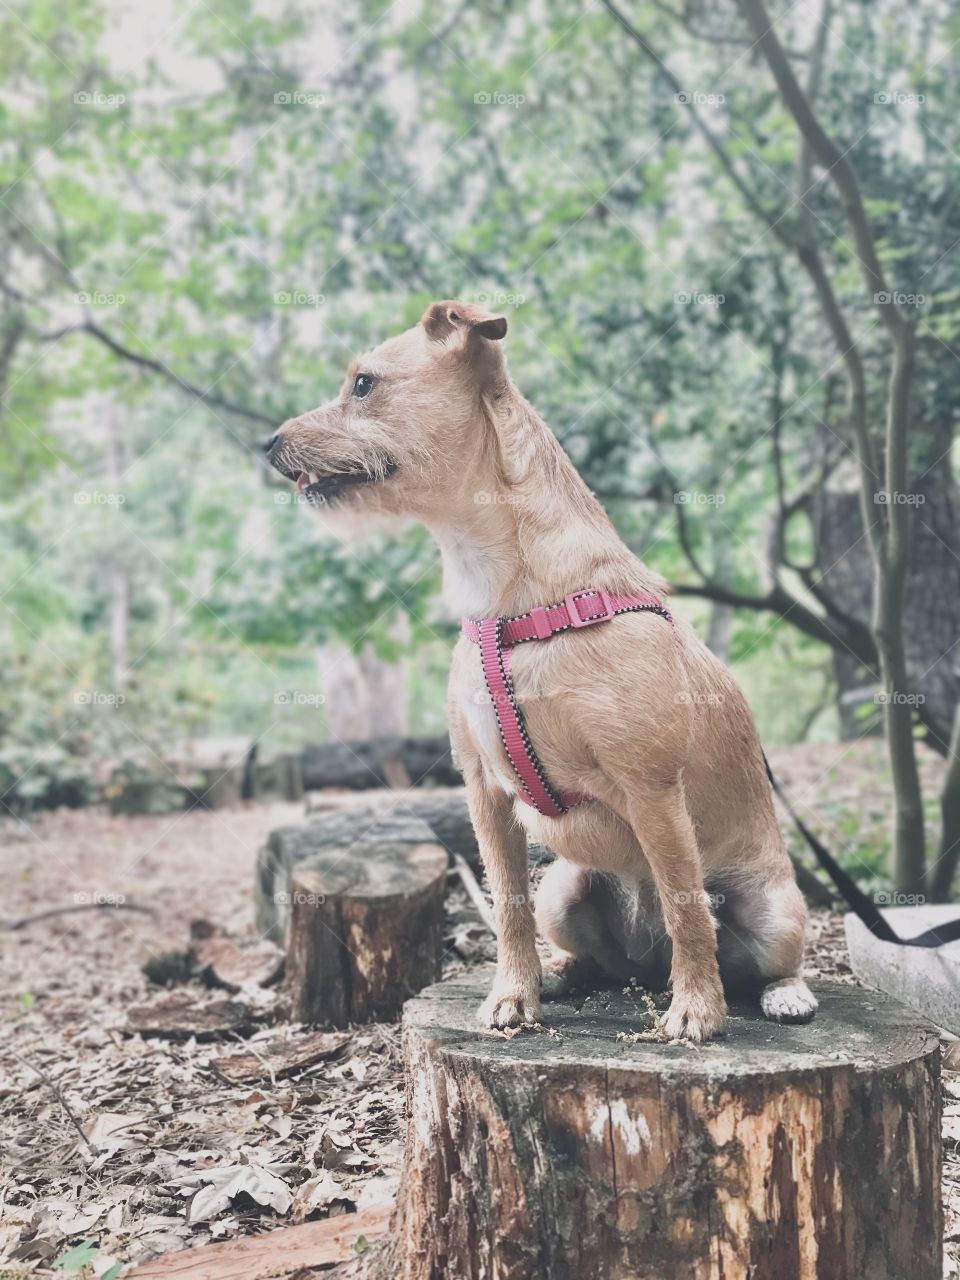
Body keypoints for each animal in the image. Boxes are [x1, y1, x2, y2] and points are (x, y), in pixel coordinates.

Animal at [264, 296, 819, 1039]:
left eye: (362, 384)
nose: (267, 442)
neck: (504, 594)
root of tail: (646, 963)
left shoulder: (652, 789)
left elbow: (685, 904)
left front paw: (698, 1009)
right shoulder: (483, 790)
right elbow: (507, 904)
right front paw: (514, 993)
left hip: (776, 908)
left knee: (747, 948)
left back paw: (780, 993)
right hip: (565, 886)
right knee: (595, 951)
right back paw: (563, 973)